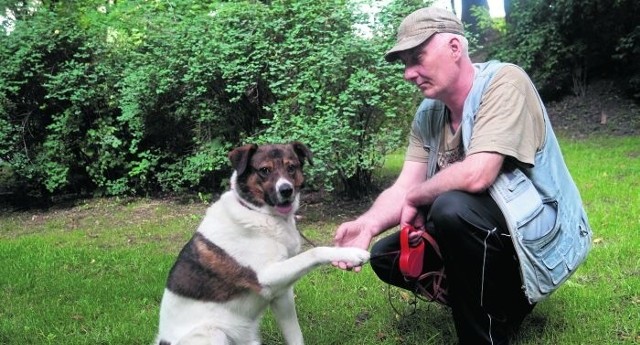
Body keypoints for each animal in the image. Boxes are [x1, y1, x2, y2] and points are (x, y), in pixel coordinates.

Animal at [154, 141, 370, 342]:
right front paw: (351, 254)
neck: (259, 213)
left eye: (291, 167)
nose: (286, 190)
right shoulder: (266, 276)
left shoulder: (282, 294)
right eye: (264, 170)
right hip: (213, 333)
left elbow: (295, 335)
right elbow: (314, 252)